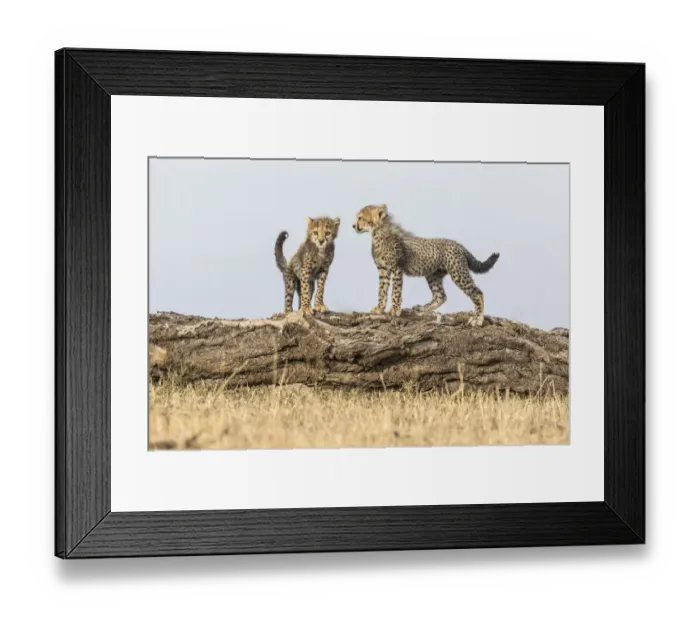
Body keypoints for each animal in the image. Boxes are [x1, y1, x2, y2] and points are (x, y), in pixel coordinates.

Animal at [352, 204, 499, 325]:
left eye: (360, 218)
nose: (353, 225)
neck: (377, 233)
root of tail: (458, 244)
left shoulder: (396, 268)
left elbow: (395, 291)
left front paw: (394, 310)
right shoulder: (383, 269)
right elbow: (382, 290)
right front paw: (379, 308)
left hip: (458, 273)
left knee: (477, 293)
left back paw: (478, 319)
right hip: (433, 275)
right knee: (440, 296)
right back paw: (422, 308)